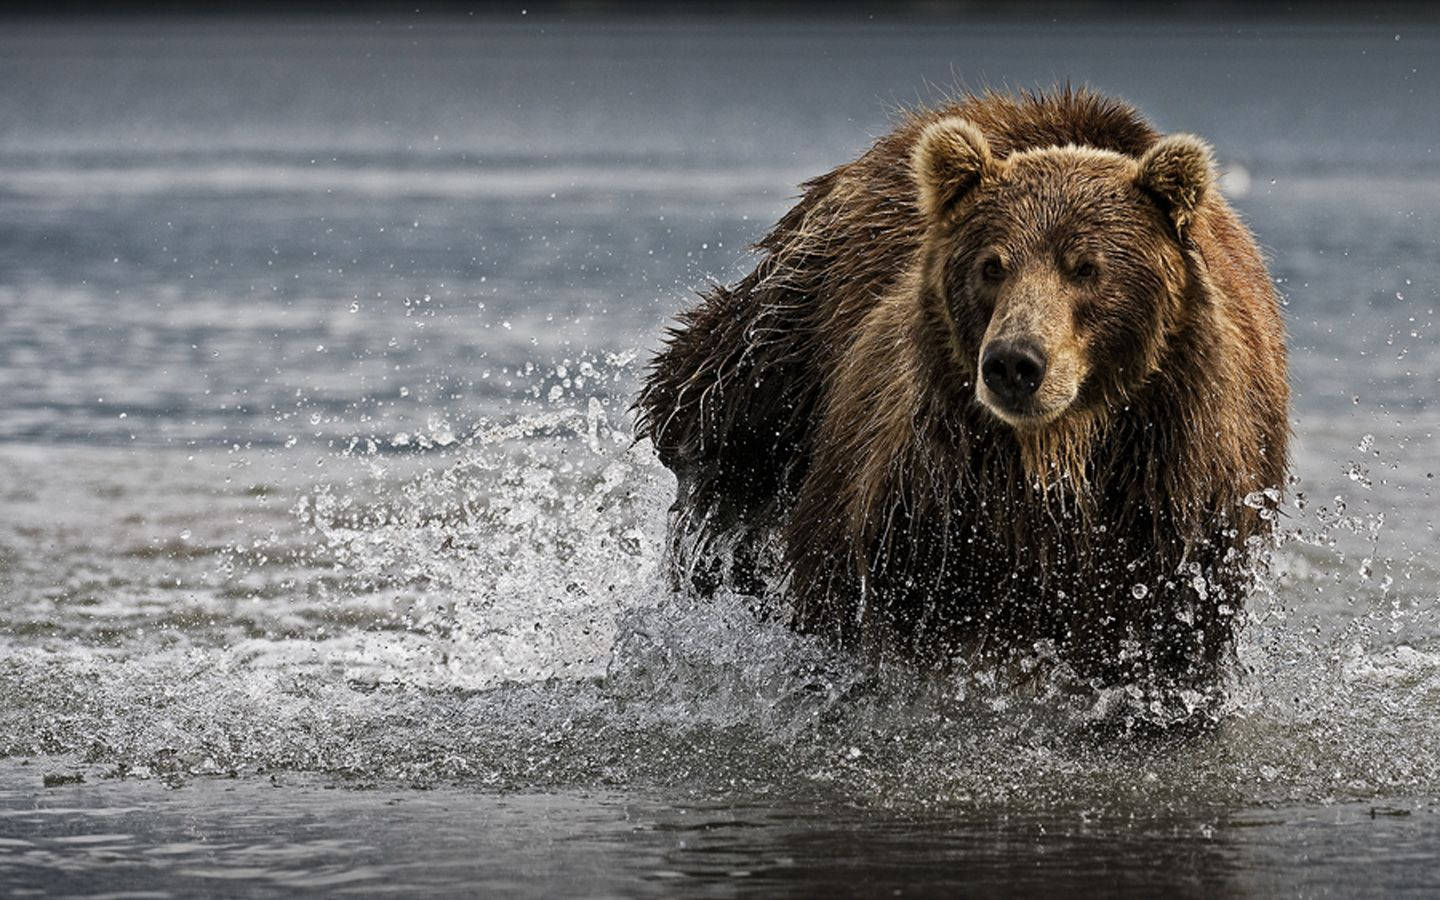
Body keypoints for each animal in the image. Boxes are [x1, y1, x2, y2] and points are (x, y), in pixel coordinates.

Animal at [636, 89, 1290, 694]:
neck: (1055, 457)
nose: (1014, 363)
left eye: (1087, 268)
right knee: (712, 425)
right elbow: (858, 595)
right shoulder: (927, 496)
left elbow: (1164, 647)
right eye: (992, 264)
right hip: (791, 333)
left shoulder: (1173, 505)